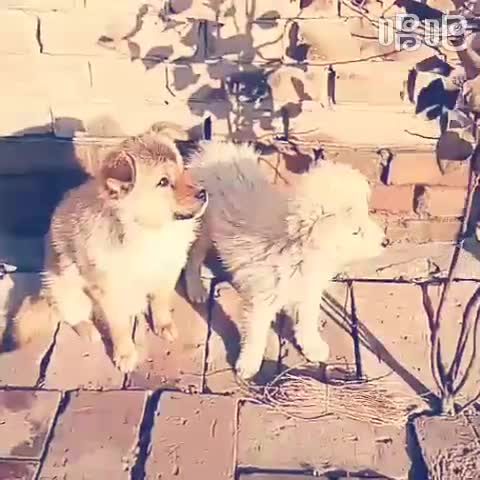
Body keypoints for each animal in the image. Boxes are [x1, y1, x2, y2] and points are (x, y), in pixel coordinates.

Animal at [6, 122, 207, 373]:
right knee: (72, 315)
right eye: (163, 182)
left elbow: (161, 303)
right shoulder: (111, 293)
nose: (203, 193)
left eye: (182, 170)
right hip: (66, 288)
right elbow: (120, 328)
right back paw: (89, 329)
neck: (149, 231)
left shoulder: (166, 273)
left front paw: (163, 325)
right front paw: (125, 354)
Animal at [184, 140, 386, 379]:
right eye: (356, 231)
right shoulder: (262, 302)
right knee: (192, 256)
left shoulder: (308, 292)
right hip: (202, 229)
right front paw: (248, 364)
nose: (385, 242)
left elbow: (306, 322)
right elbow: (256, 334)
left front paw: (312, 347)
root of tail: (212, 150)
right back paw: (195, 289)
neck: (299, 249)